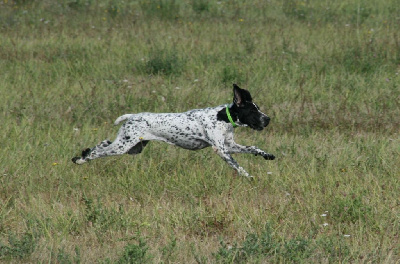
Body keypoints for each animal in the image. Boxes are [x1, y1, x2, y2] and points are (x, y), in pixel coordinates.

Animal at [72, 84, 274, 178]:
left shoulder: (230, 145)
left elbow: (253, 148)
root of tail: (133, 115)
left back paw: (83, 154)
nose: (268, 119)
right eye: (253, 111)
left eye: (258, 108)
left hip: (133, 147)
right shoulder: (222, 150)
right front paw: (249, 177)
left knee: (102, 143)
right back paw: (82, 159)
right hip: (124, 145)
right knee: (99, 151)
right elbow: (238, 166)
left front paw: (267, 155)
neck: (223, 117)